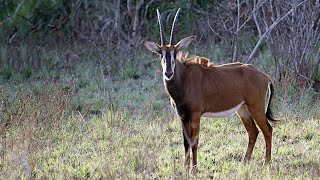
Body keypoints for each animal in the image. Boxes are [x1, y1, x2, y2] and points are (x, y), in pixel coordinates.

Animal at [144, 8, 276, 171]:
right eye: (160, 53)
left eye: (175, 52)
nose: (168, 73)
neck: (184, 79)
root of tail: (264, 76)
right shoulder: (182, 116)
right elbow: (186, 142)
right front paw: (184, 169)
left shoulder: (195, 115)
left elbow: (194, 141)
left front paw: (194, 169)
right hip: (243, 109)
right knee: (253, 131)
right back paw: (244, 161)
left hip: (255, 107)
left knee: (267, 130)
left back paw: (266, 162)